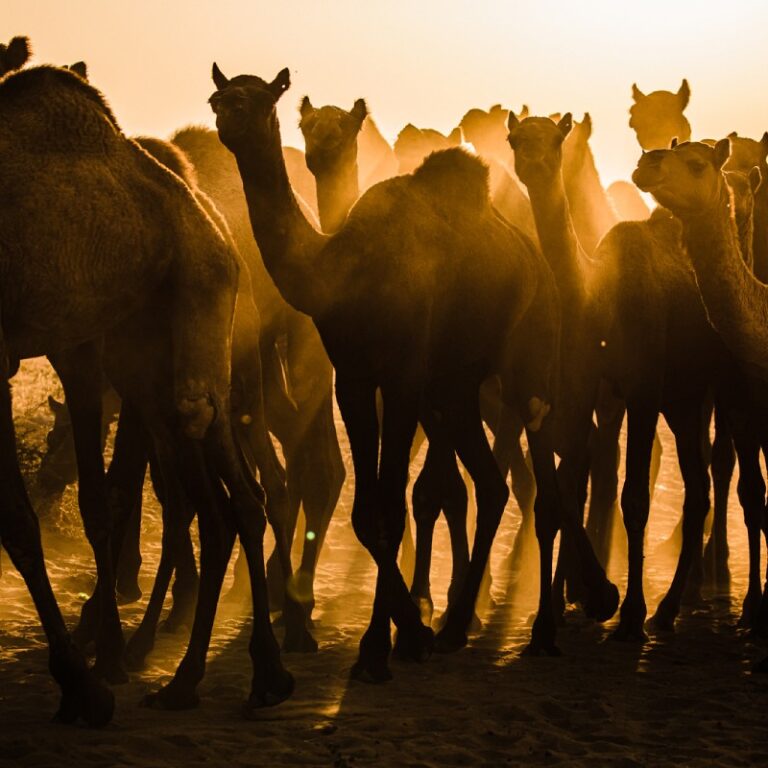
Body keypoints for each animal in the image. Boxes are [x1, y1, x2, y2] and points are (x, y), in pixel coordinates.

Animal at [208, 66, 616, 680]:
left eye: (258, 99)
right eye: (221, 95)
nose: (225, 115)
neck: (341, 267)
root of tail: (538, 260)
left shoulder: (400, 377)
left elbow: (392, 508)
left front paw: (385, 644)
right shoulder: (355, 378)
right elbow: (369, 511)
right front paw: (406, 634)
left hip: (528, 366)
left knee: (545, 481)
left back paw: (549, 624)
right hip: (457, 386)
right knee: (493, 485)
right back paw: (456, 627)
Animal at [508, 114, 724, 640]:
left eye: (556, 138)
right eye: (515, 138)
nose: (534, 161)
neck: (599, 299)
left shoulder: (643, 389)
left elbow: (635, 498)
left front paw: (627, 613)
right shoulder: (589, 386)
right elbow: (572, 484)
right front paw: (595, 597)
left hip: (705, 389)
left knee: (704, 481)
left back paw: (665, 607)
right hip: (681, 398)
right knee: (698, 488)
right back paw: (667, 608)